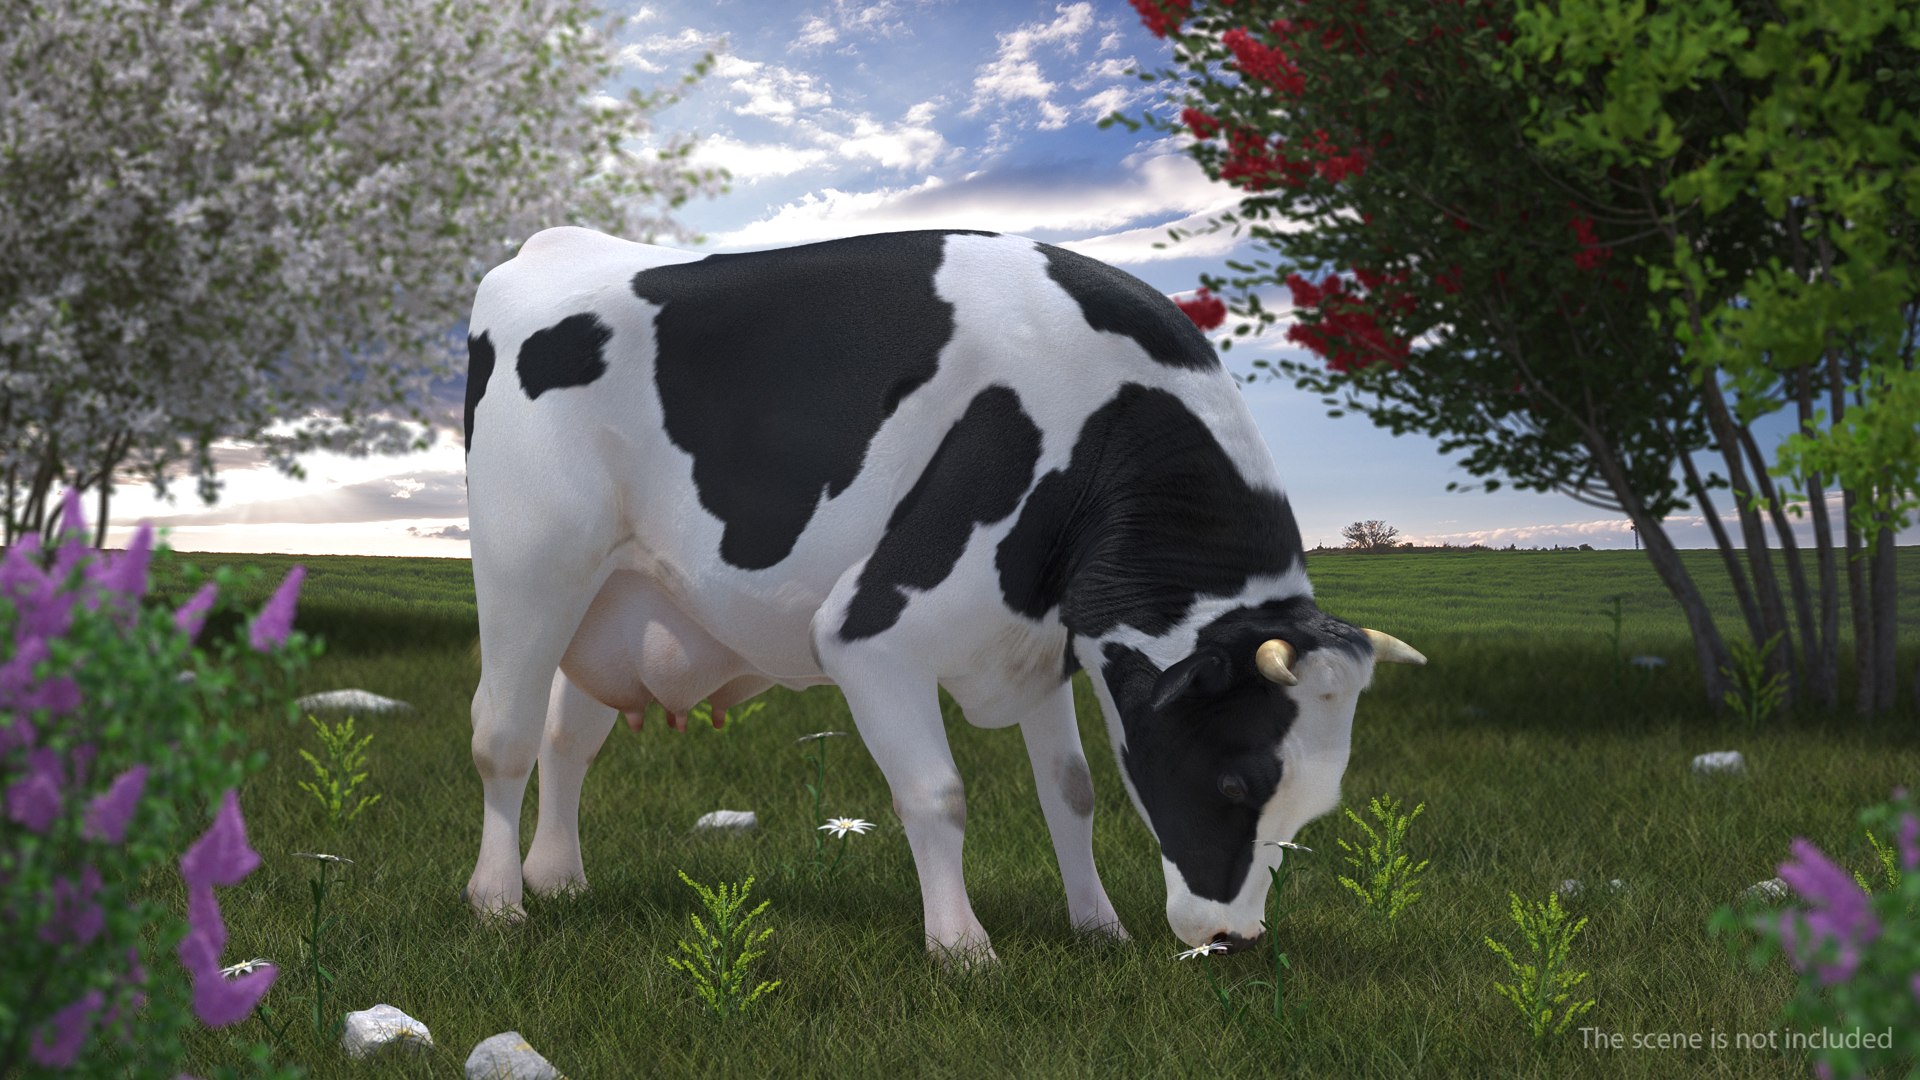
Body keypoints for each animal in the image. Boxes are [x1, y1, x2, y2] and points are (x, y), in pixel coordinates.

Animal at [461, 226, 1424, 963]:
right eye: (1234, 780)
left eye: (1318, 798)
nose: (1234, 940)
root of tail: (555, 245)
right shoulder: (868, 634)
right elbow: (936, 793)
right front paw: (962, 948)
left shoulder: (1044, 640)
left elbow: (1071, 790)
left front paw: (1098, 927)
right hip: (529, 565)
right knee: (503, 736)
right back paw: (498, 900)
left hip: (613, 598)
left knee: (567, 737)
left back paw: (560, 879)